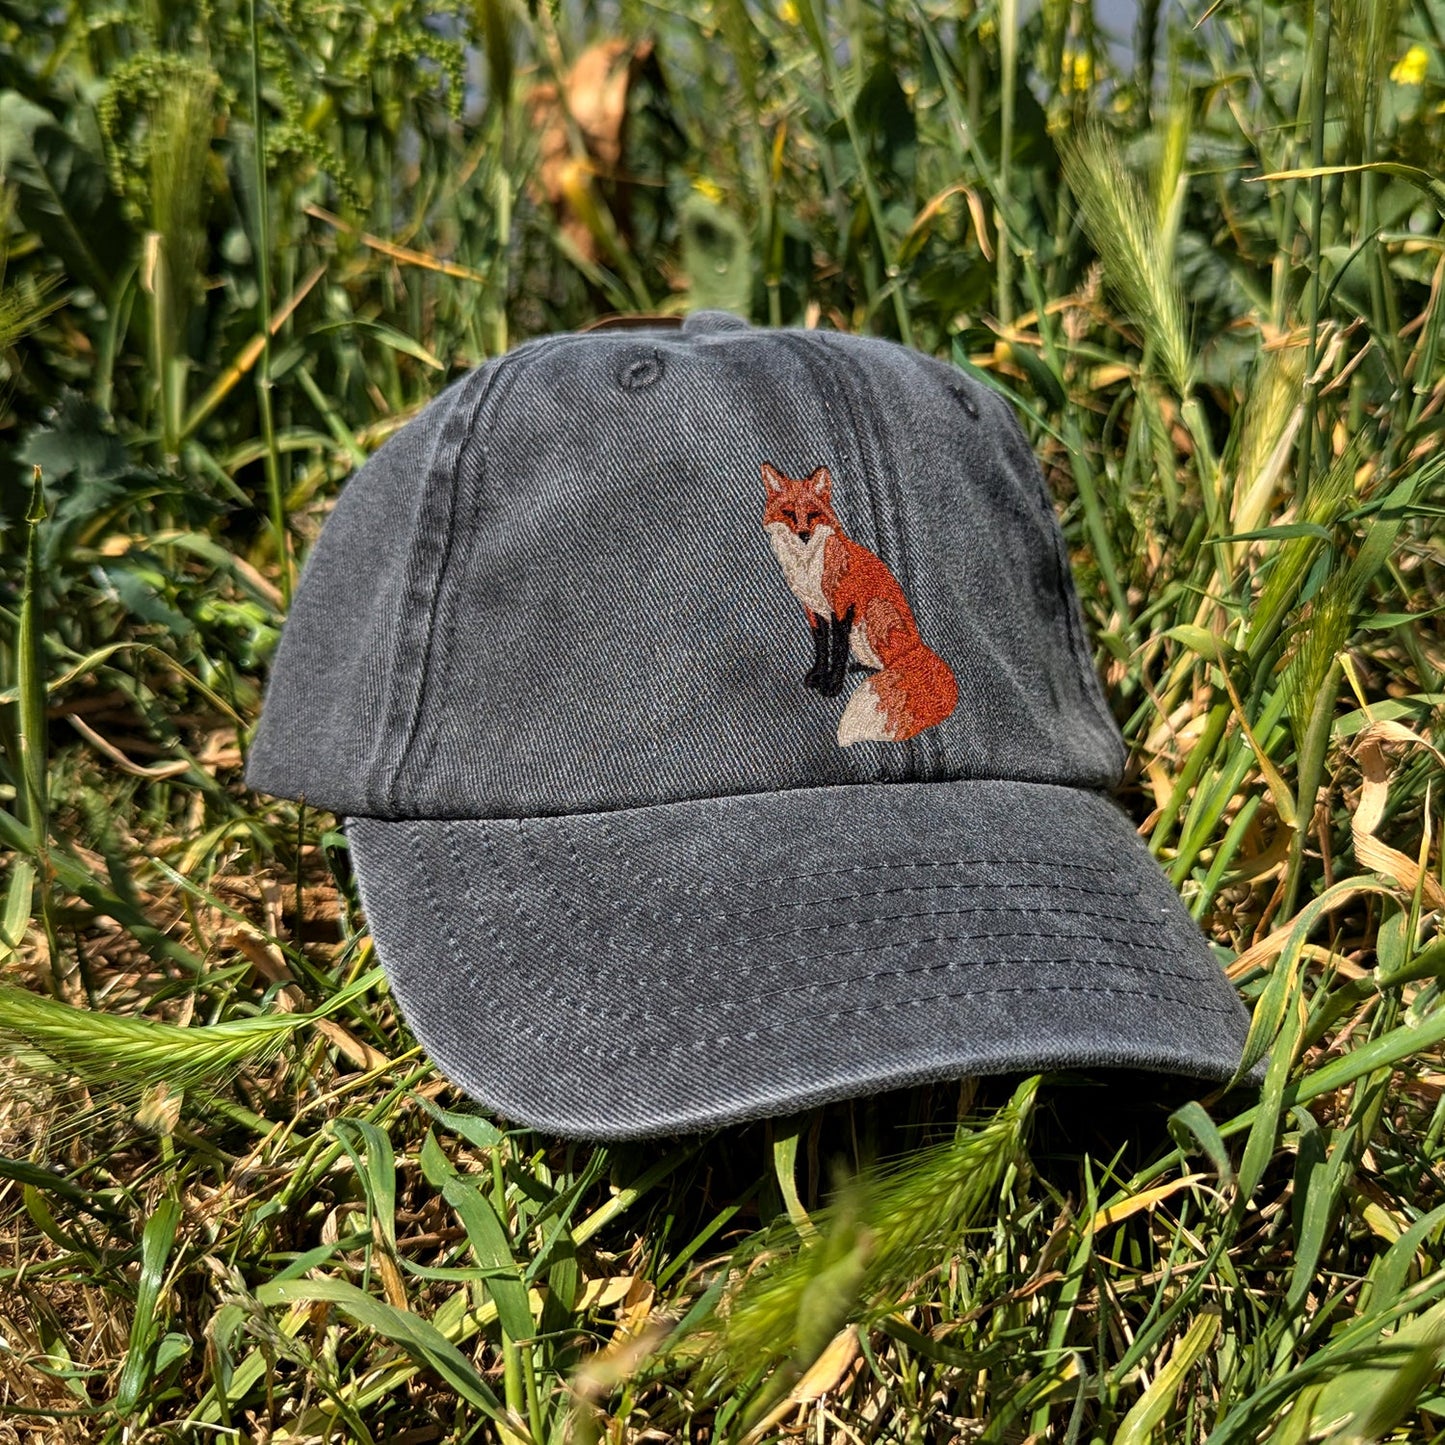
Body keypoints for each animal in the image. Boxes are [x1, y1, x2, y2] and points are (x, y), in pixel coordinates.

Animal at [761, 461, 959, 746]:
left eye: (813, 514)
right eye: (788, 513)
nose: (804, 535)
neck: (807, 566)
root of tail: (918, 647)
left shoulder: (842, 607)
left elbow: (838, 650)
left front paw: (832, 685)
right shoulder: (813, 609)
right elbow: (822, 646)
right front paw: (818, 675)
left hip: (875, 611)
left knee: (890, 665)